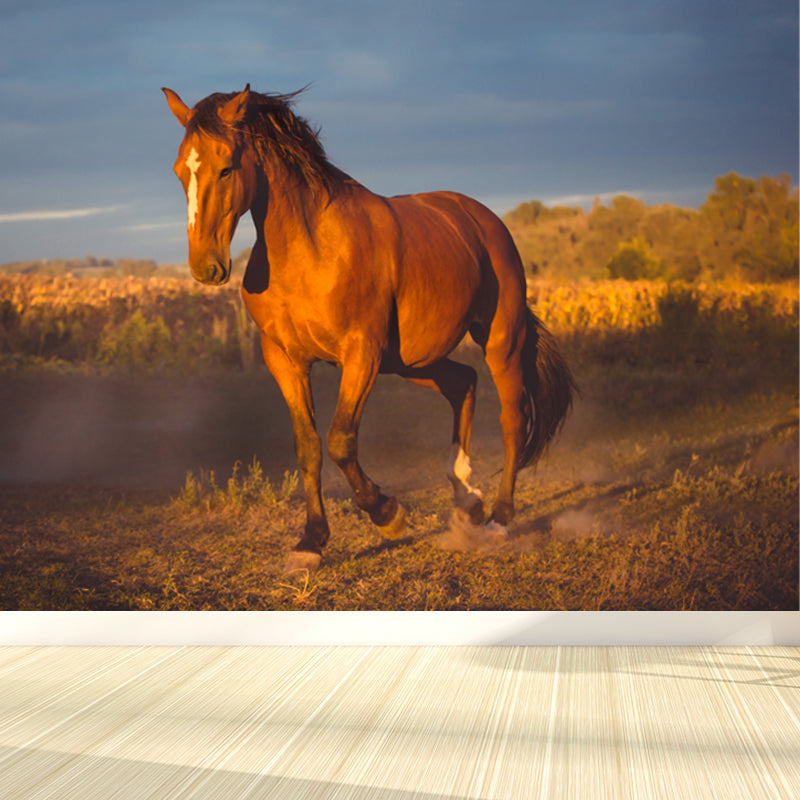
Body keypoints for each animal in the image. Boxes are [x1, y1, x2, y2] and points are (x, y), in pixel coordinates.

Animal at [163, 84, 575, 574]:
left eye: (226, 166)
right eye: (180, 170)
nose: (205, 267)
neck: (310, 249)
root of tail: (483, 220)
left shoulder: (361, 353)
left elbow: (341, 440)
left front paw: (388, 515)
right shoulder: (285, 360)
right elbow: (308, 446)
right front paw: (310, 543)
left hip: (499, 341)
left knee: (513, 418)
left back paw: (498, 518)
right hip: (412, 361)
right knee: (463, 384)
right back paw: (467, 500)